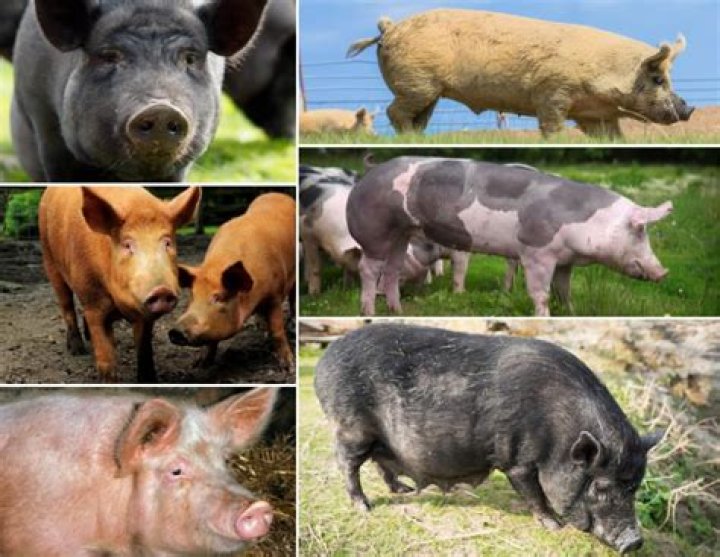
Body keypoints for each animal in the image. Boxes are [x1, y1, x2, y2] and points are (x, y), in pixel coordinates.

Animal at [39, 186, 201, 382]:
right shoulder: (93, 302)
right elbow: (106, 358)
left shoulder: (143, 312)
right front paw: (107, 380)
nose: (161, 291)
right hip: (49, 259)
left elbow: (144, 349)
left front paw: (149, 380)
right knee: (66, 304)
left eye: (167, 243)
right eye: (127, 245)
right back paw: (77, 350)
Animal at [169, 193, 296, 367]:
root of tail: (278, 194)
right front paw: (200, 363)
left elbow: (277, 330)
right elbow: (212, 340)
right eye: (192, 295)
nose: (176, 331)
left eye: (219, 297)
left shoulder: (275, 295)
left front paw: (288, 365)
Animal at [315, 324, 663, 554]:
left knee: (380, 462)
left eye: (634, 486)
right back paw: (364, 507)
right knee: (347, 464)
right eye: (601, 487)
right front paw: (554, 526)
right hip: (351, 429)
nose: (635, 542)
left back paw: (403, 490)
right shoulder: (517, 458)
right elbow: (534, 493)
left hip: (378, 439)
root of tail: (324, 360)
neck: (559, 436)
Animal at [347, 10, 694, 137]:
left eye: (668, 79)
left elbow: (612, 138)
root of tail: (389, 28)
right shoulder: (553, 93)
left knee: (417, 118)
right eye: (658, 79)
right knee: (394, 111)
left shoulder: (596, 116)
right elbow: (551, 126)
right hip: (416, 83)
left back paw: (415, 139)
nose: (688, 107)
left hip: (427, 91)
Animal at [347, 157, 672, 316]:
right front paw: (543, 317)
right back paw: (368, 311)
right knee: (368, 269)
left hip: (401, 233)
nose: (663, 272)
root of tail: (367, 177)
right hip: (375, 232)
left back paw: (396, 310)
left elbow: (564, 291)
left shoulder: (564, 261)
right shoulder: (536, 252)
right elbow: (540, 293)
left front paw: (571, 312)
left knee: (392, 270)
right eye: (639, 230)